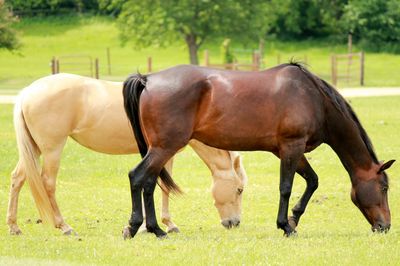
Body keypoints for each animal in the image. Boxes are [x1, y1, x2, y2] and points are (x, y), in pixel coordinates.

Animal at [7, 72, 247, 235]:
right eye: (239, 189)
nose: (234, 223)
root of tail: (28, 92)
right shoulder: (165, 153)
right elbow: (163, 187)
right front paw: (166, 225)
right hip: (52, 149)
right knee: (48, 183)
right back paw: (64, 226)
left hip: (33, 149)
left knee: (18, 179)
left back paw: (13, 227)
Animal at [123, 62, 396, 239]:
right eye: (384, 187)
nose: (385, 226)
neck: (313, 97)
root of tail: (148, 79)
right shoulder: (292, 146)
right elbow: (286, 187)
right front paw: (285, 226)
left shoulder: (288, 150)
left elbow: (312, 181)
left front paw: (294, 219)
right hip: (165, 147)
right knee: (137, 177)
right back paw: (135, 227)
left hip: (161, 149)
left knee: (149, 183)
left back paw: (156, 229)